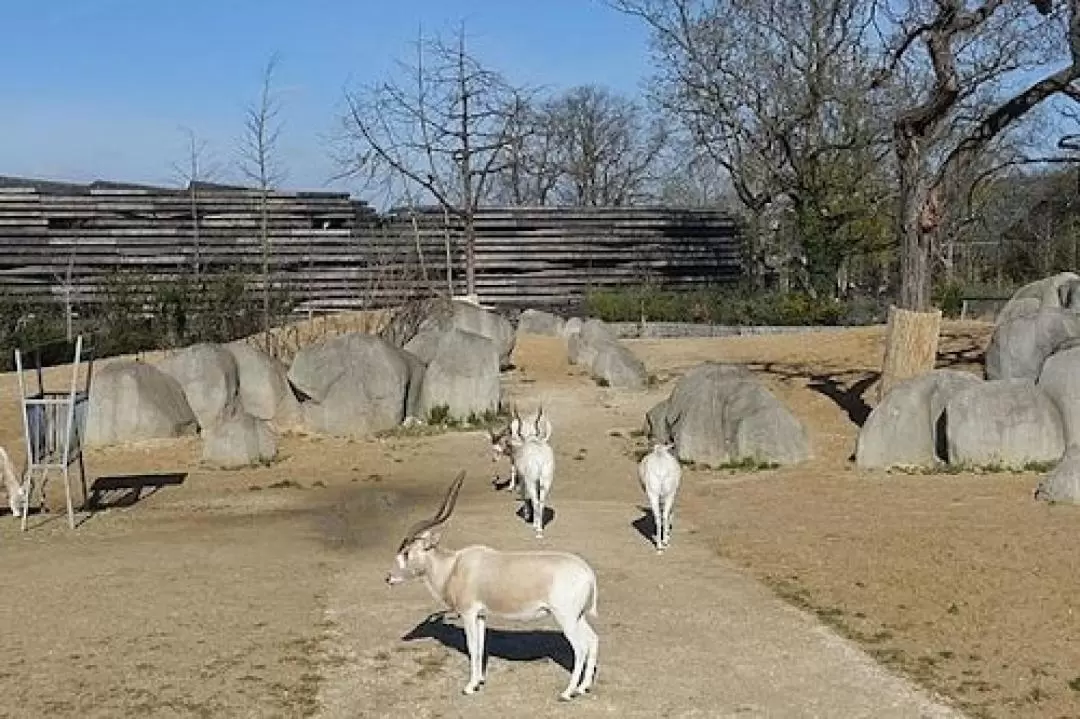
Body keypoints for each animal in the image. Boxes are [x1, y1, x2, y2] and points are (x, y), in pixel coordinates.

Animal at [388, 470, 604, 699]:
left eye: (406, 553)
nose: (389, 578)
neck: (453, 566)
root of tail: (587, 572)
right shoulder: (481, 615)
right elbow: (481, 647)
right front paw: (480, 681)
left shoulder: (468, 613)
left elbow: (472, 647)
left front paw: (469, 686)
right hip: (578, 616)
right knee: (593, 640)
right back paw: (583, 687)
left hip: (566, 617)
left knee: (580, 648)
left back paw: (568, 692)